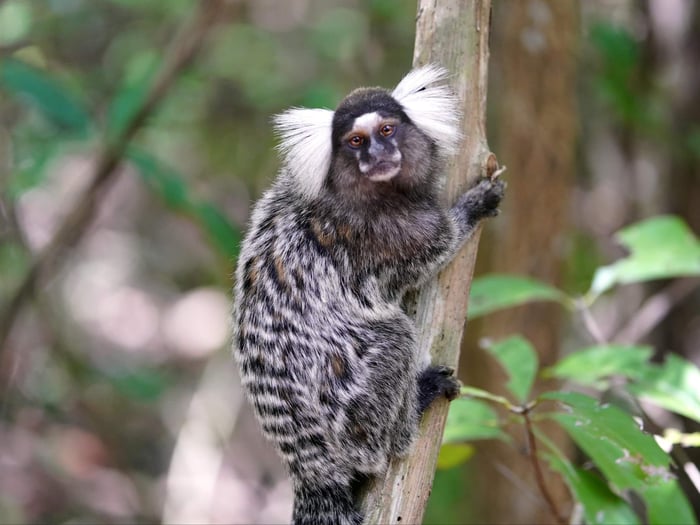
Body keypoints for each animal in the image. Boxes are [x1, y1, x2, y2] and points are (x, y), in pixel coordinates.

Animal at [232, 65, 505, 525]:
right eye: (356, 141)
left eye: (387, 130)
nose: (377, 155)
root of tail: (309, 467)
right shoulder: (398, 235)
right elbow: (440, 247)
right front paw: (474, 206)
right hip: (345, 403)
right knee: (393, 340)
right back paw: (412, 412)